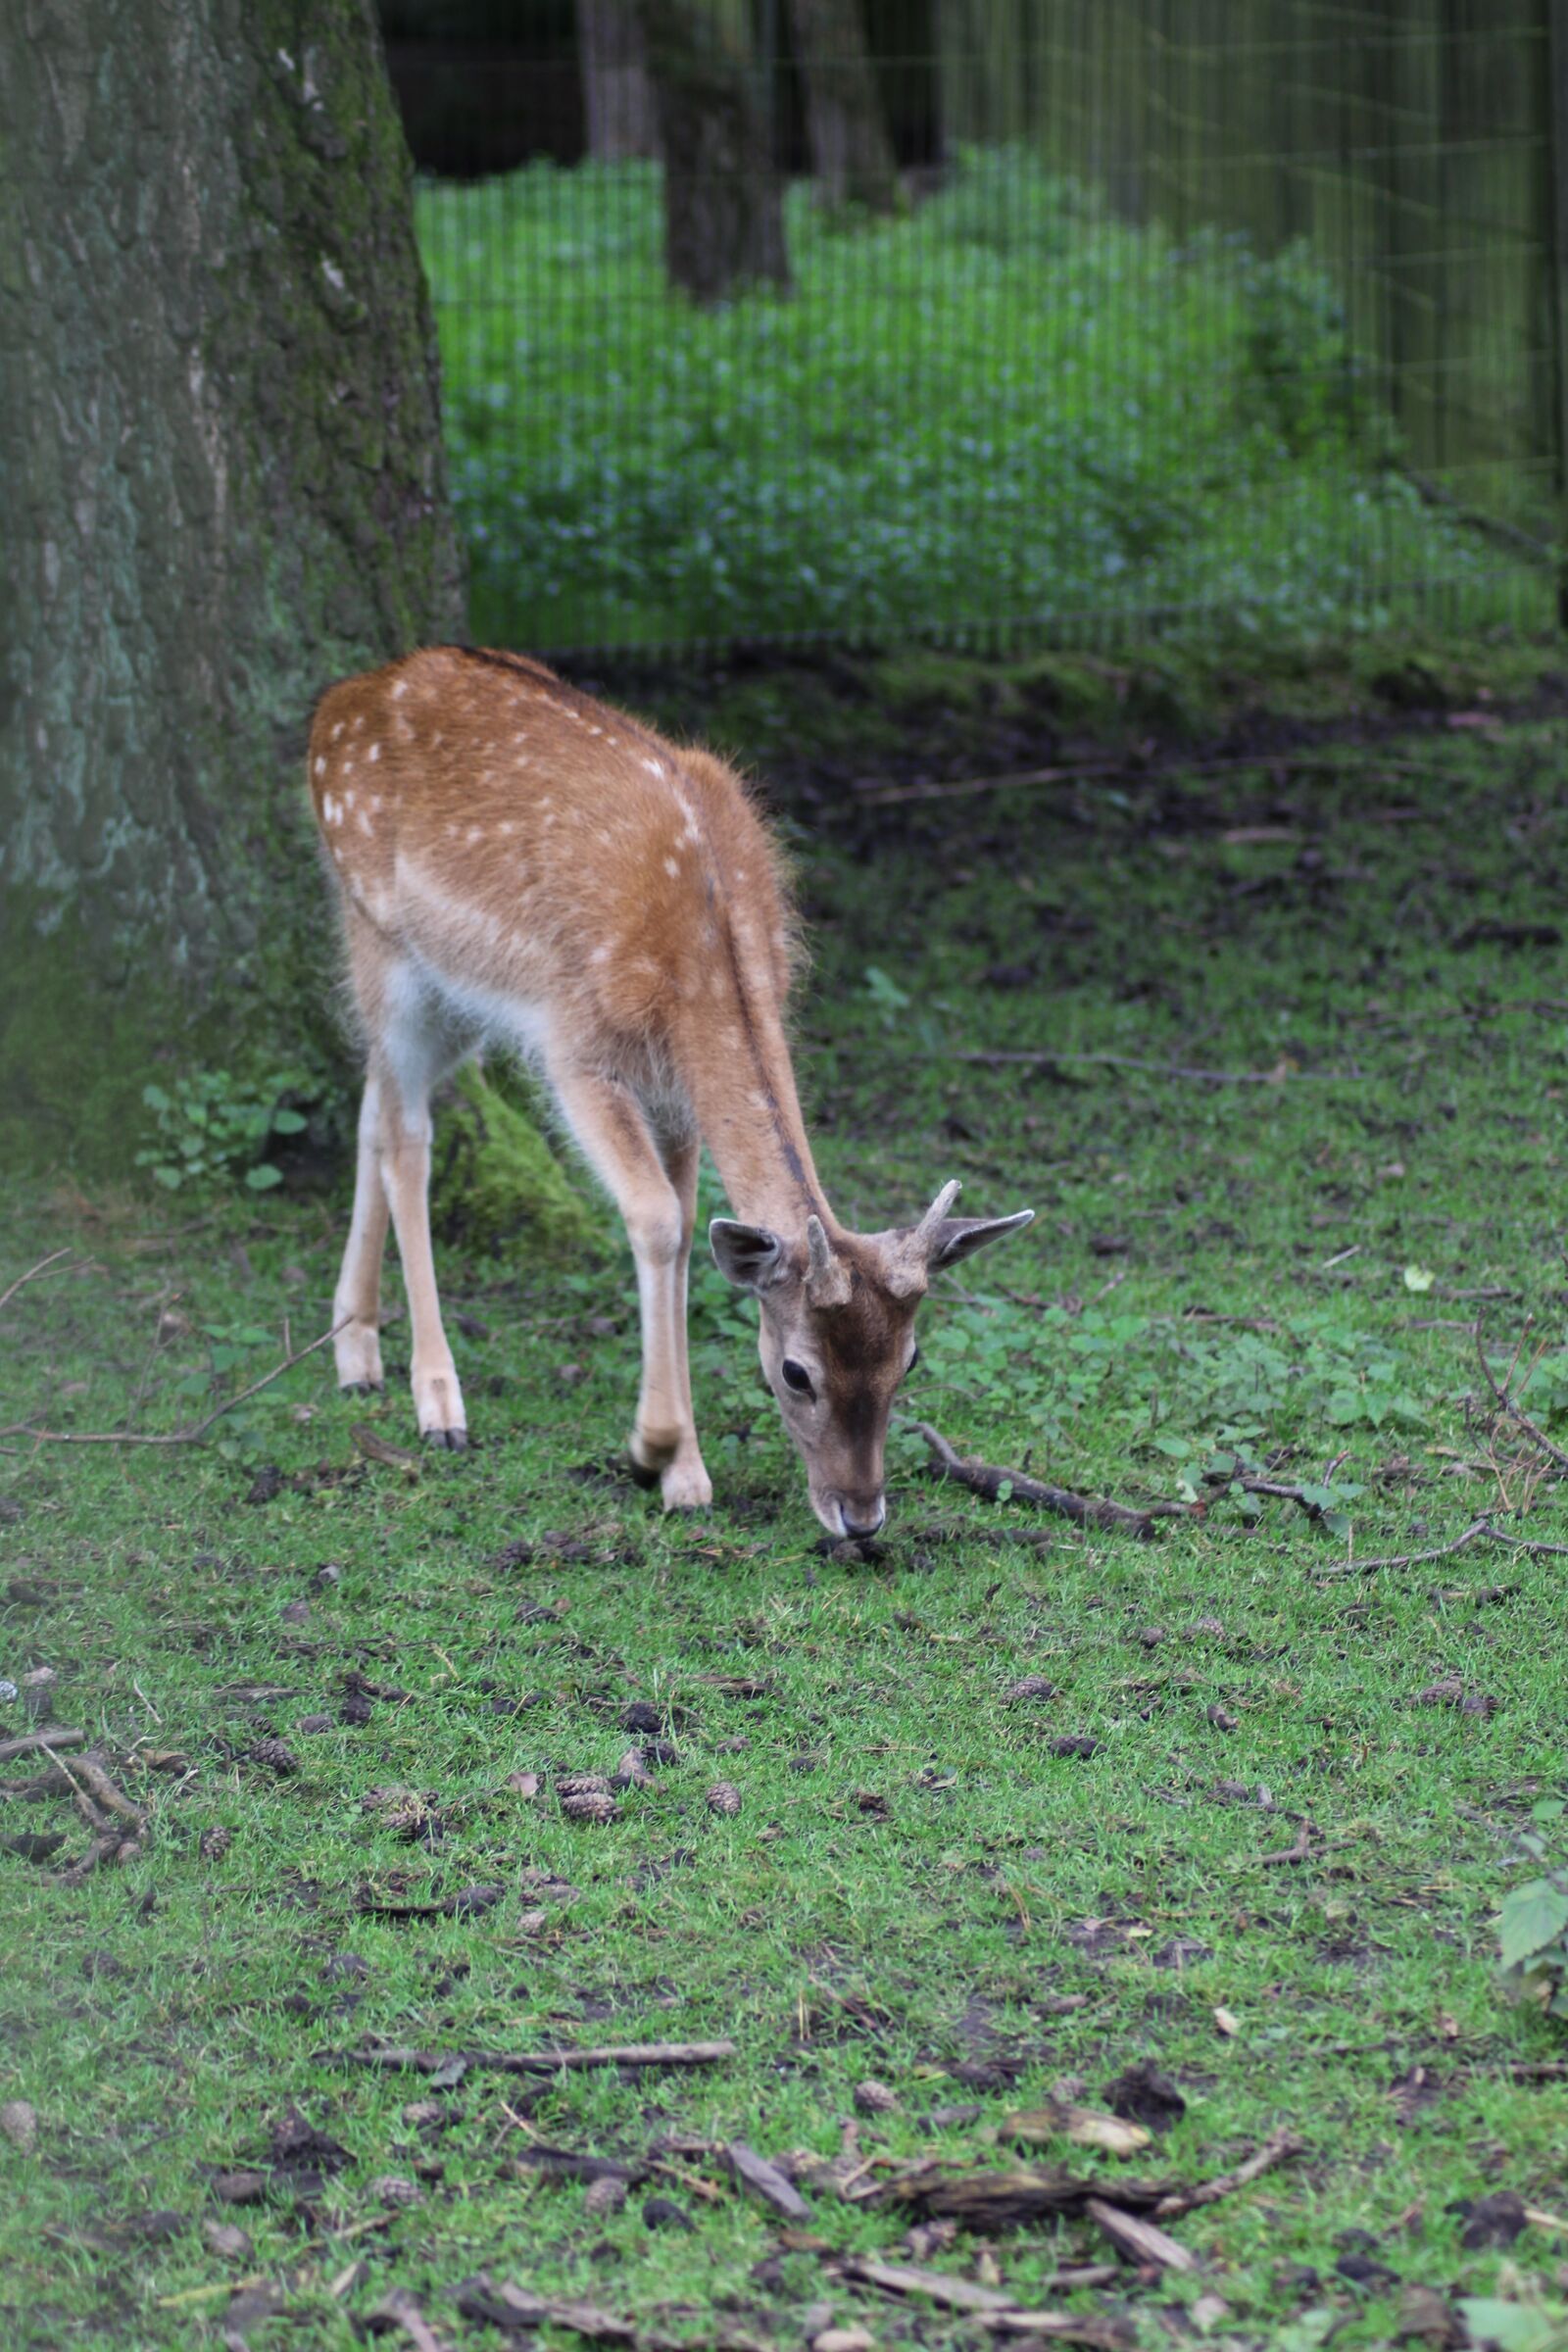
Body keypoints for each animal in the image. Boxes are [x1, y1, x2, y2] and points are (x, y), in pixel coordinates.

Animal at [307, 645, 1033, 1538]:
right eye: (796, 1373)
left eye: (910, 1360)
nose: (861, 1516)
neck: (703, 953)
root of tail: (344, 695)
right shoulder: (578, 1051)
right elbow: (653, 1219)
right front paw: (651, 1450)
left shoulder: (677, 1091)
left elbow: (688, 1229)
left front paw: (685, 1472)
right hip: (381, 937)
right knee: (408, 1135)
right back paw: (437, 1402)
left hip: (453, 995)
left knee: (375, 1104)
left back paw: (355, 1348)